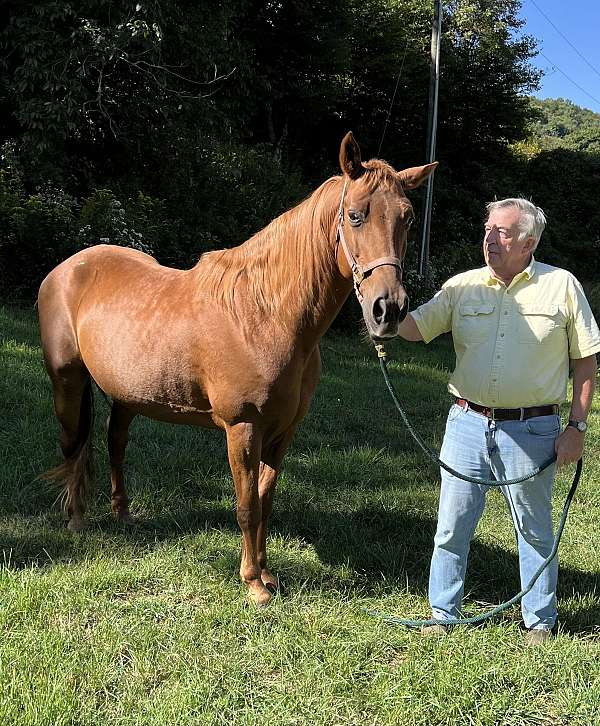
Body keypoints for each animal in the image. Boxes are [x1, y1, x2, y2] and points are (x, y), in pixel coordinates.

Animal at [38, 134, 436, 604]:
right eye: (355, 216)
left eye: (409, 219)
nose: (387, 310)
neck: (265, 315)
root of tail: (66, 269)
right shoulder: (242, 427)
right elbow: (247, 506)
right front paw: (253, 585)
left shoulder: (282, 432)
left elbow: (265, 500)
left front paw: (268, 574)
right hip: (67, 384)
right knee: (73, 447)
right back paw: (77, 519)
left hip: (127, 395)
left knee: (115, 445)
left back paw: (123, 514)